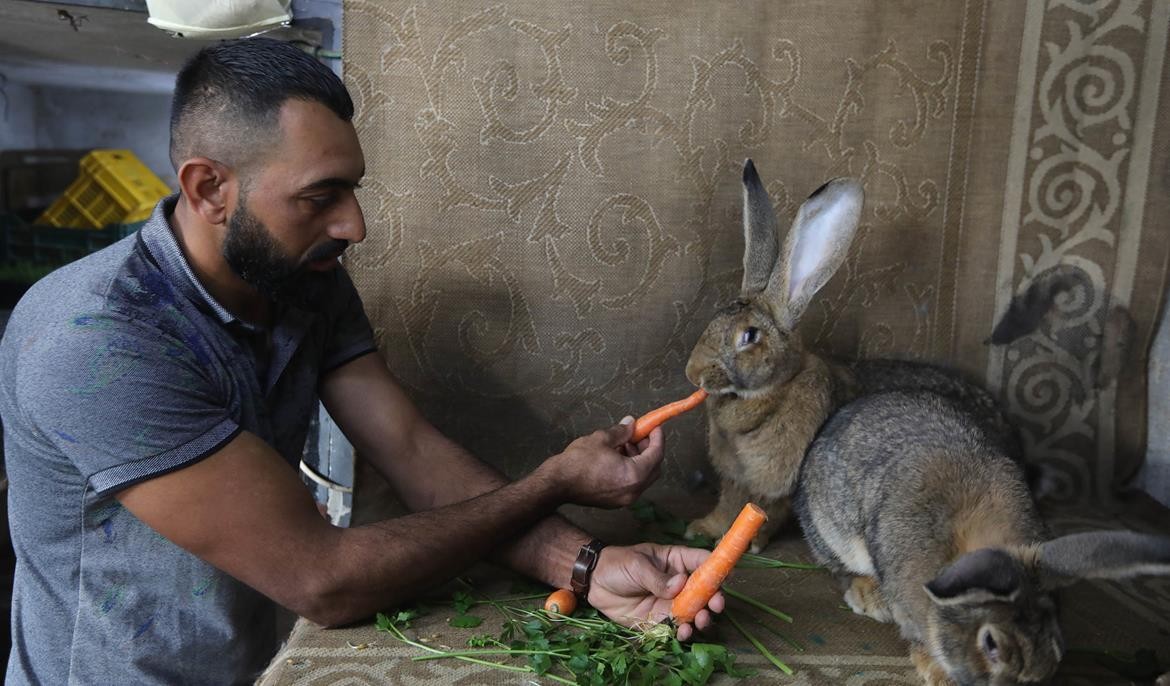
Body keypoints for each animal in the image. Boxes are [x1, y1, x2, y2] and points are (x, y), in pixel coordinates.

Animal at [683, 158, 865, 547]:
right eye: (714, 319)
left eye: (750, 336)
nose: (693, 373)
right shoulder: (733, 477)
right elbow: (728, 503)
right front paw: (702, 529)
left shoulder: (776, 484)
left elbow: (763, 512)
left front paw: (748, 543)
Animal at [795, 390, 1170, 683]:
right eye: (990, 644)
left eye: (1057, 645)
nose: (1029, 677)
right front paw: (938, 675)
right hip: (831, 530)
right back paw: (868, 596)